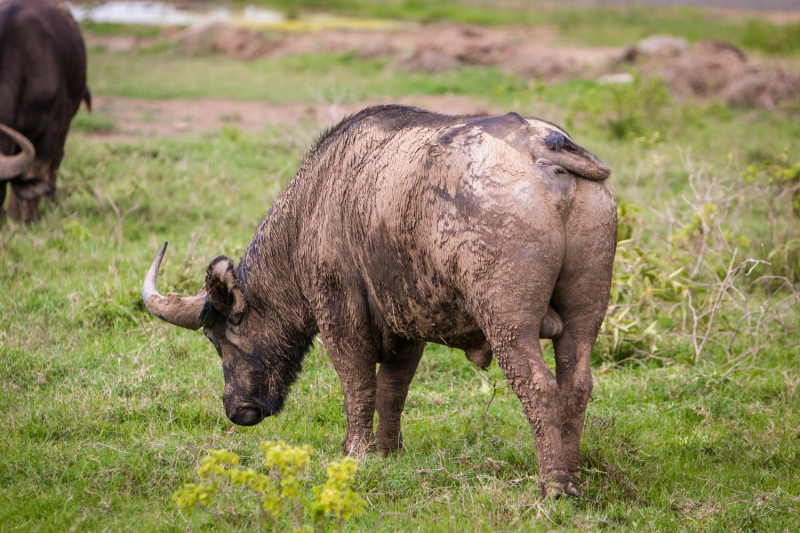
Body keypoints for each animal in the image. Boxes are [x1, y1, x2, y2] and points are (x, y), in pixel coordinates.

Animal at [0, 0, 90, 222]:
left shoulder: (52, 126)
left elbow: (38, 167)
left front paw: (28, 218)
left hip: (67, 121)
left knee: (57, 158)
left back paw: (50, 201)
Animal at [142, 106, 620, 496]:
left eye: (220, 338)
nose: (237, 411)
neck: (313, 207)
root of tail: (543, 146)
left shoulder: (339, 317)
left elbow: (357, 384)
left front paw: (355, 451)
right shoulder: (408, 327)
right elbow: (394, 388)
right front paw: (389, 451)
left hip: (508, 321)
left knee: (538, 386)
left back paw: (553, 485)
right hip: (586, 315)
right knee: (576, 384)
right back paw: (572, 472)